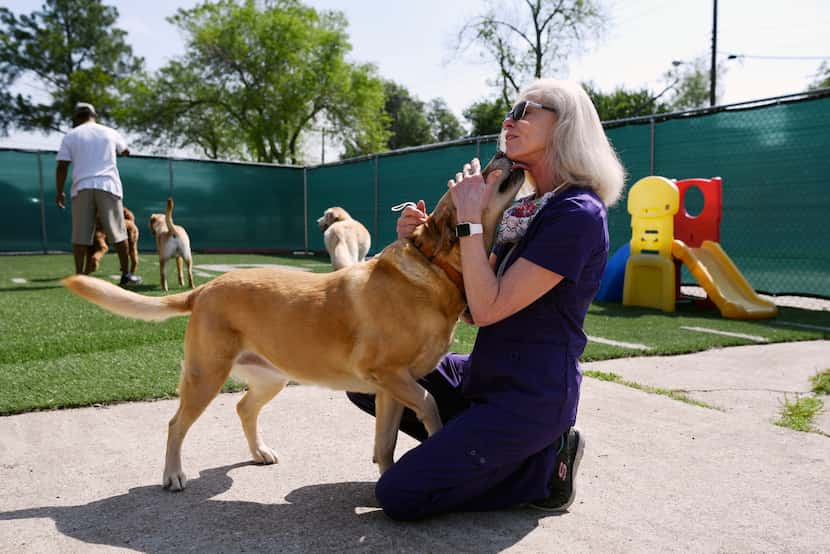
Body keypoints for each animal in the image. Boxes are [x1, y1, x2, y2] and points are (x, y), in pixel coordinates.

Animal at [65, 153, 524, 490]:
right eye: (478, 176)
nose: (502, 152)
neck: (435, 271)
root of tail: (205, 289)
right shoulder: (389, 375)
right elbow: (428, 405)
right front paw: (435, 433)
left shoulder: (391, 389)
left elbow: (386, 443)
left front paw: (385, 480)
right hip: (204, 376)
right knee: (176, 424)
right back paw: (173, 474)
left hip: (270, 378)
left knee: (243, 408)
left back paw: (259, 452)